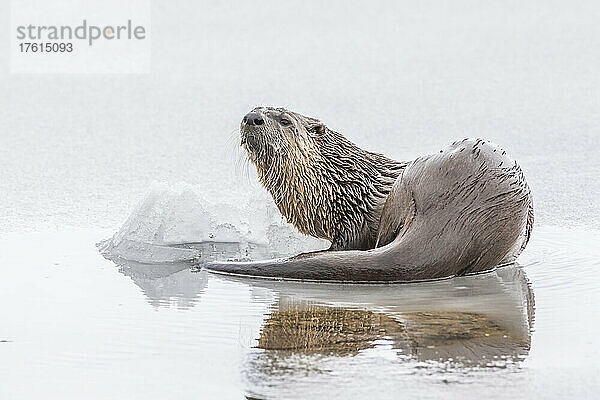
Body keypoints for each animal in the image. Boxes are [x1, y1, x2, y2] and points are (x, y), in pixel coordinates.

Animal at [204, 106, 532, 282]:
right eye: (256, 109)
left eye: (285, 121)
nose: (252, 117)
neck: (340, 184)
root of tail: (455, 219)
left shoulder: (352, 224)